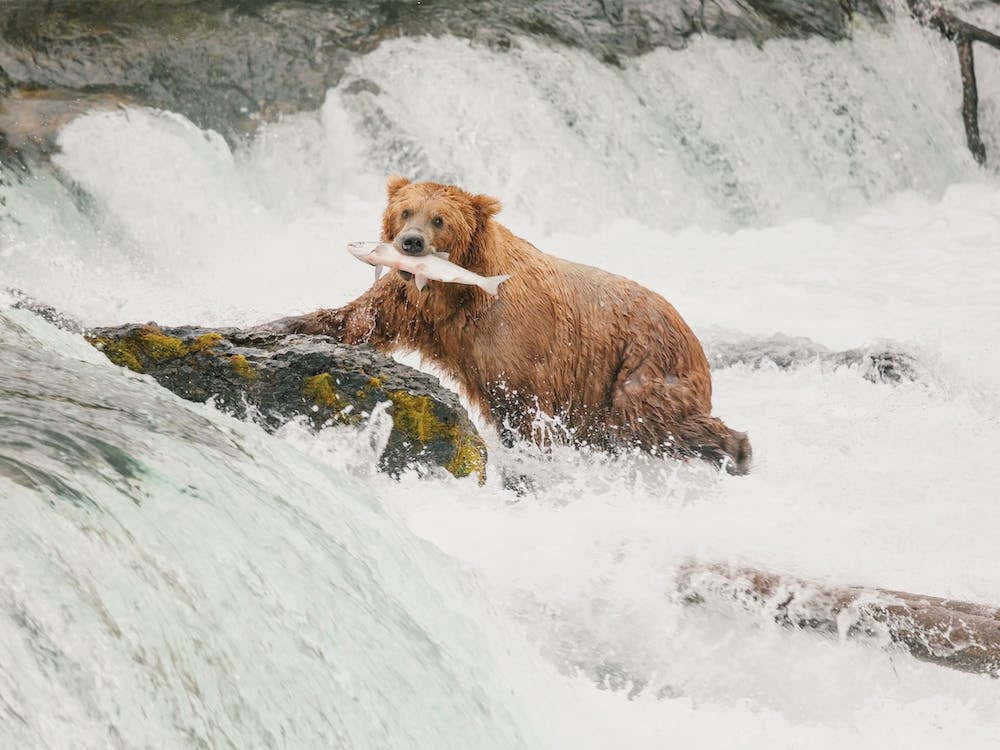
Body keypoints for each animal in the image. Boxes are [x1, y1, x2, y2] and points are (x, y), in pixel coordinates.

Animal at [276, 177, 751, 474]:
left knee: (648, 416)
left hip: (640, 362)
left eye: (439, 219)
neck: (457, 290)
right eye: (405, 210)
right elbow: (359, 318)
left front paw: (531, 457)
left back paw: (737, 450)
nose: (410, 243)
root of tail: (689, 330)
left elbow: (524, 405)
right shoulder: (414, 305)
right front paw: (284, 323)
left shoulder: (513, 336)